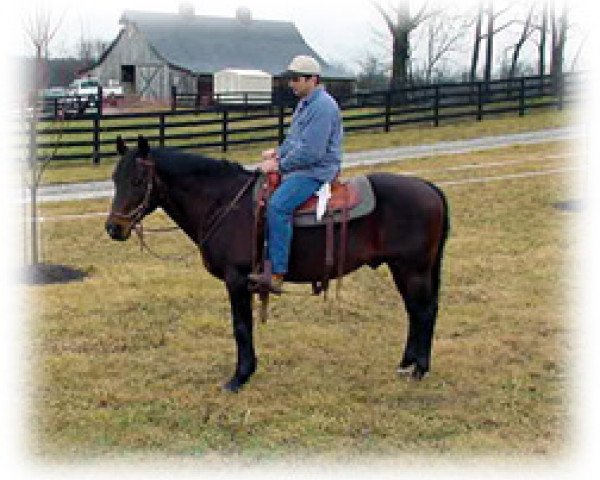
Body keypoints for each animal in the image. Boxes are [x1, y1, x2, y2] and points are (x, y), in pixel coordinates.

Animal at [105, 137, 448, 392]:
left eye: (138, 180)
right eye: (114, 178)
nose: (113, 228)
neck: (224, 203)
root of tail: (430, 188)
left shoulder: (237, 279)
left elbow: (241, 327)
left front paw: (239, 377)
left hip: (413, 269)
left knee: (424, 312)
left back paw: (419, 369)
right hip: (402, 268)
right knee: (415, 311)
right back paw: (406, 364)